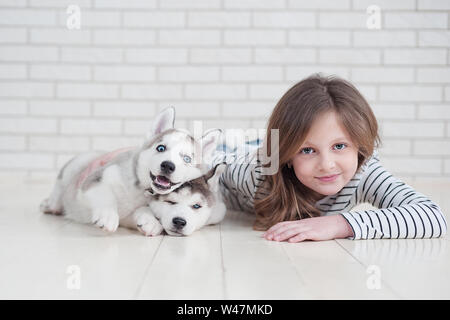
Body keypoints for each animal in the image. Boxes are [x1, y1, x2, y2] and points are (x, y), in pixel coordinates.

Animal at [40, 107, 221, 235]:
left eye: (187, 159)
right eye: (161, 148)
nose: (168, 165)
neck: (141, 189)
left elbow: (142, 211)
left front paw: (150, 221)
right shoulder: (94, 178)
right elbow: (104, 194)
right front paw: (108, 215)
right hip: (76, 166)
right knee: (59, 188)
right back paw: (50, 204)